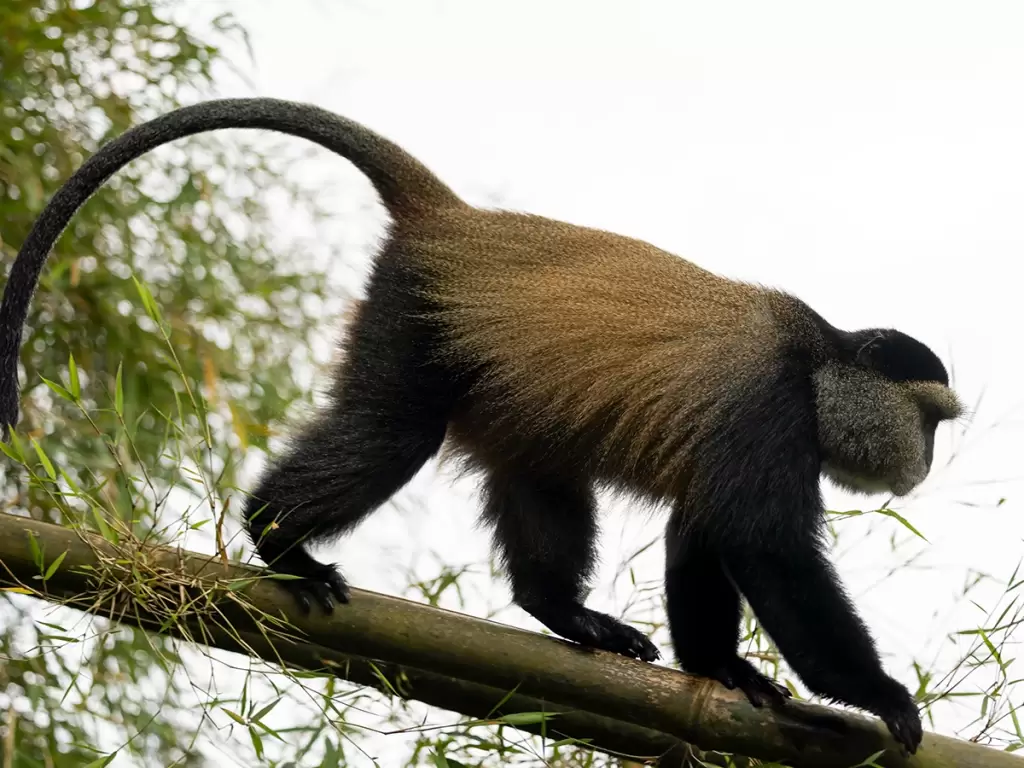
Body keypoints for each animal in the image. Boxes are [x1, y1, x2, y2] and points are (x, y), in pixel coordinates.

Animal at [0, 98, 963, 755]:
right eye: (930, 417)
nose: (924, 462)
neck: (816, 359)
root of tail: (451, 221)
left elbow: (701, 533)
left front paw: (720, 672)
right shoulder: (767, 409)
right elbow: (763, 545)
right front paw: (877, 694)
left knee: (541, 480)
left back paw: (562, 612)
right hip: (412, 321)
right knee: (391, 433)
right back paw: (280, 541)